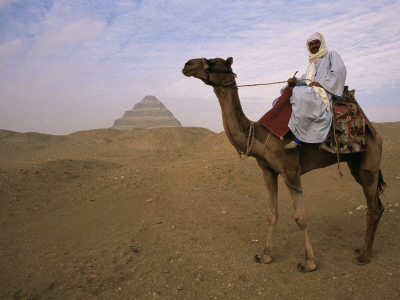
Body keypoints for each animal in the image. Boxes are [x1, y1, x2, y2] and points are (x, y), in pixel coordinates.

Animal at [181, 56, 384, 272]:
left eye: (212, 62)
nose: (187, 64)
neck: (261, 135)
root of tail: (375, 133)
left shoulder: (291, 171)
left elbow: (300, 217)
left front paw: (309, 263)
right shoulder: (268, 171)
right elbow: (272, 214)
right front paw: (265, 255)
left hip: (369, 163)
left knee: (372, 208)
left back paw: (363, 256)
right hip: (355, 165)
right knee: (378, 206)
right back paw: (364, 250)